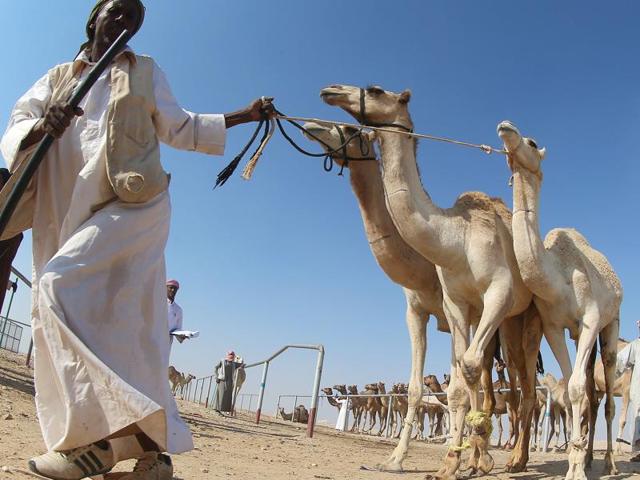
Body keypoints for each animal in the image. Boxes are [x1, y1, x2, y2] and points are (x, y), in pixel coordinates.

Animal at [322, 85, 544, 476]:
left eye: (375, 90)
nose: (330, 91)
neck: (451, 241)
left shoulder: (480, 297)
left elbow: (461, 378)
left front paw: (470, 456)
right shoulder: (434, 308)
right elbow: (434, 385)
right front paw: (405, 460)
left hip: (523, 316)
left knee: (524, 383)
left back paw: (516, 458)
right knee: (499, 382)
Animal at [498, 122, 624, 478]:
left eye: (532, 142)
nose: (505, 128)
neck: (556, 276)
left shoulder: (590, 319)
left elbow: (578, 387)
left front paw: (576, 469)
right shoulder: (553, 325)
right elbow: (571, 389)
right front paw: (576, 461)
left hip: (612, 323)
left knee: (607, 397)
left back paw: (609, 463)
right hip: (580, 335)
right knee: (590, 395)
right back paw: (591, 456)